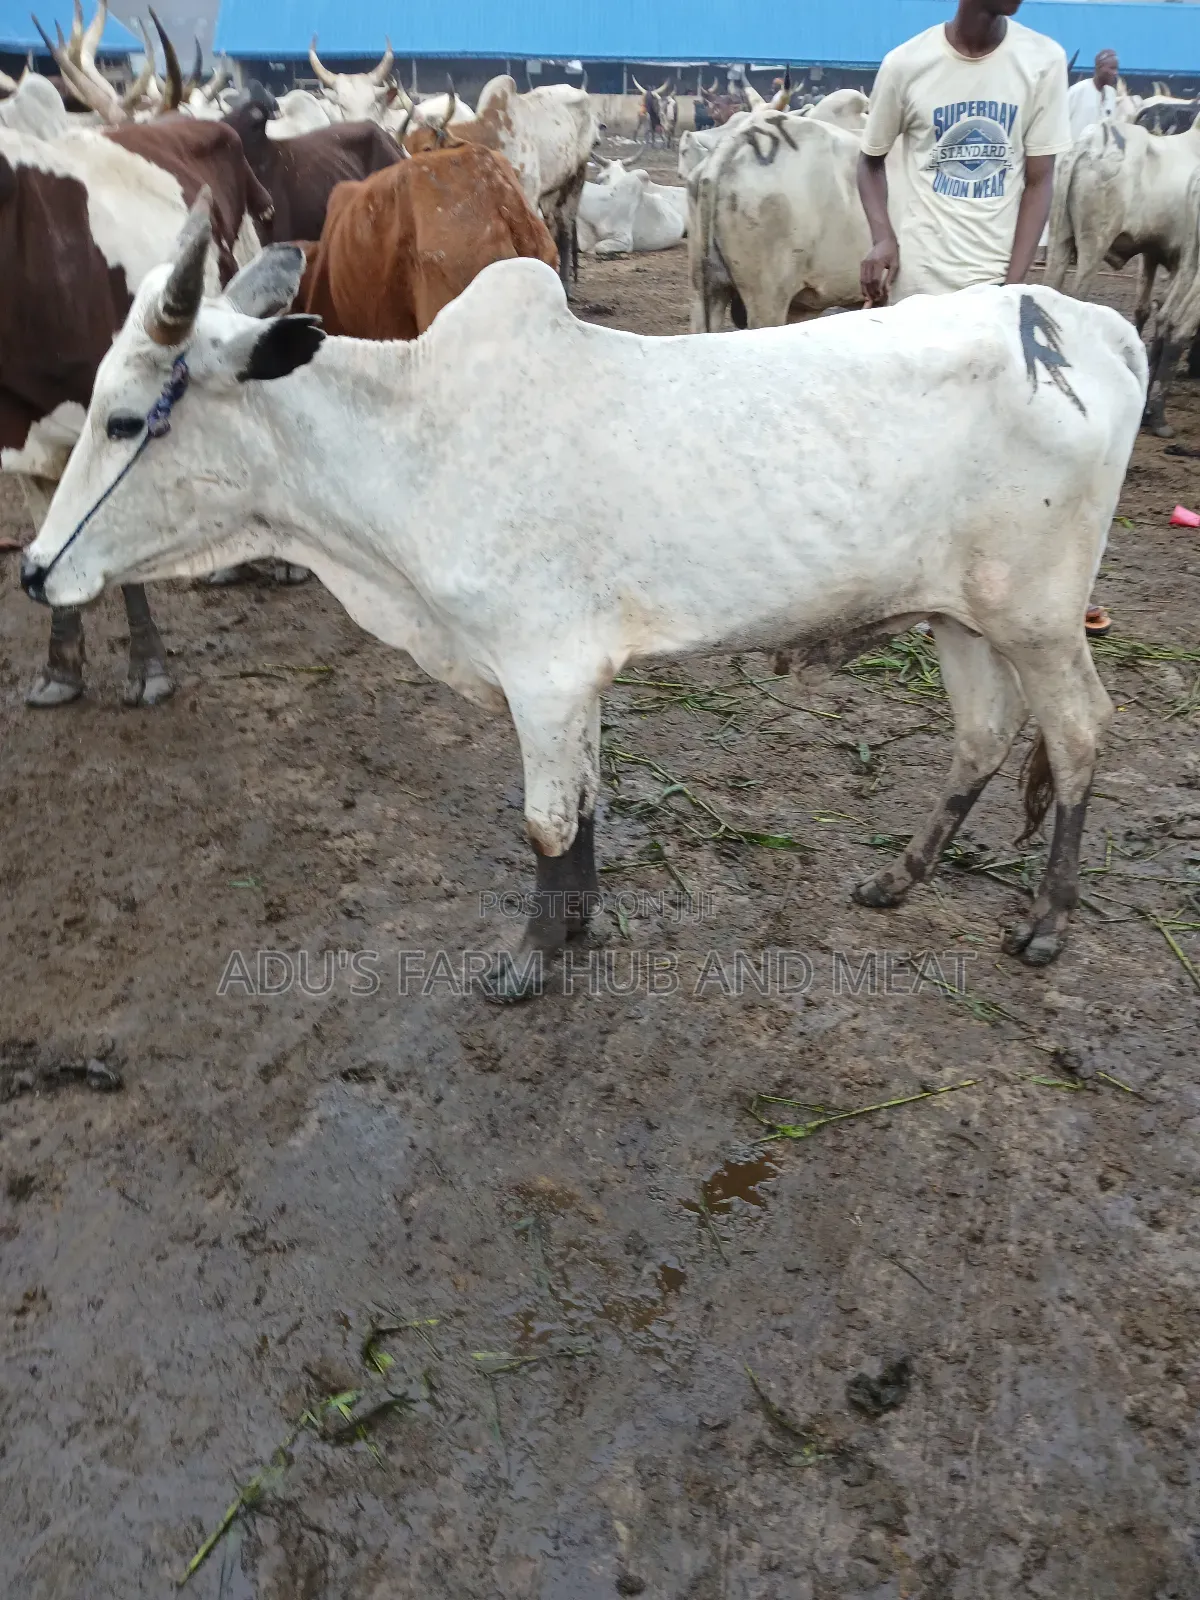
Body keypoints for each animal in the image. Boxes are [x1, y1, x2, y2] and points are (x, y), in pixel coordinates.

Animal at [23, 203, 1146, 991]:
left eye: (125, 419)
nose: (35, 569)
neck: (411, 440)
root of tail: (1087, 324)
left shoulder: (544, 672)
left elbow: (546, 826)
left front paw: (529, 959)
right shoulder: (573, 684)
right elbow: (588, 807)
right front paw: (574, 928)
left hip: (1042, 619)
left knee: (1081, 734)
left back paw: (1048, 920)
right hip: (963, 616)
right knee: (985, 734)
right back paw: (901, 875)